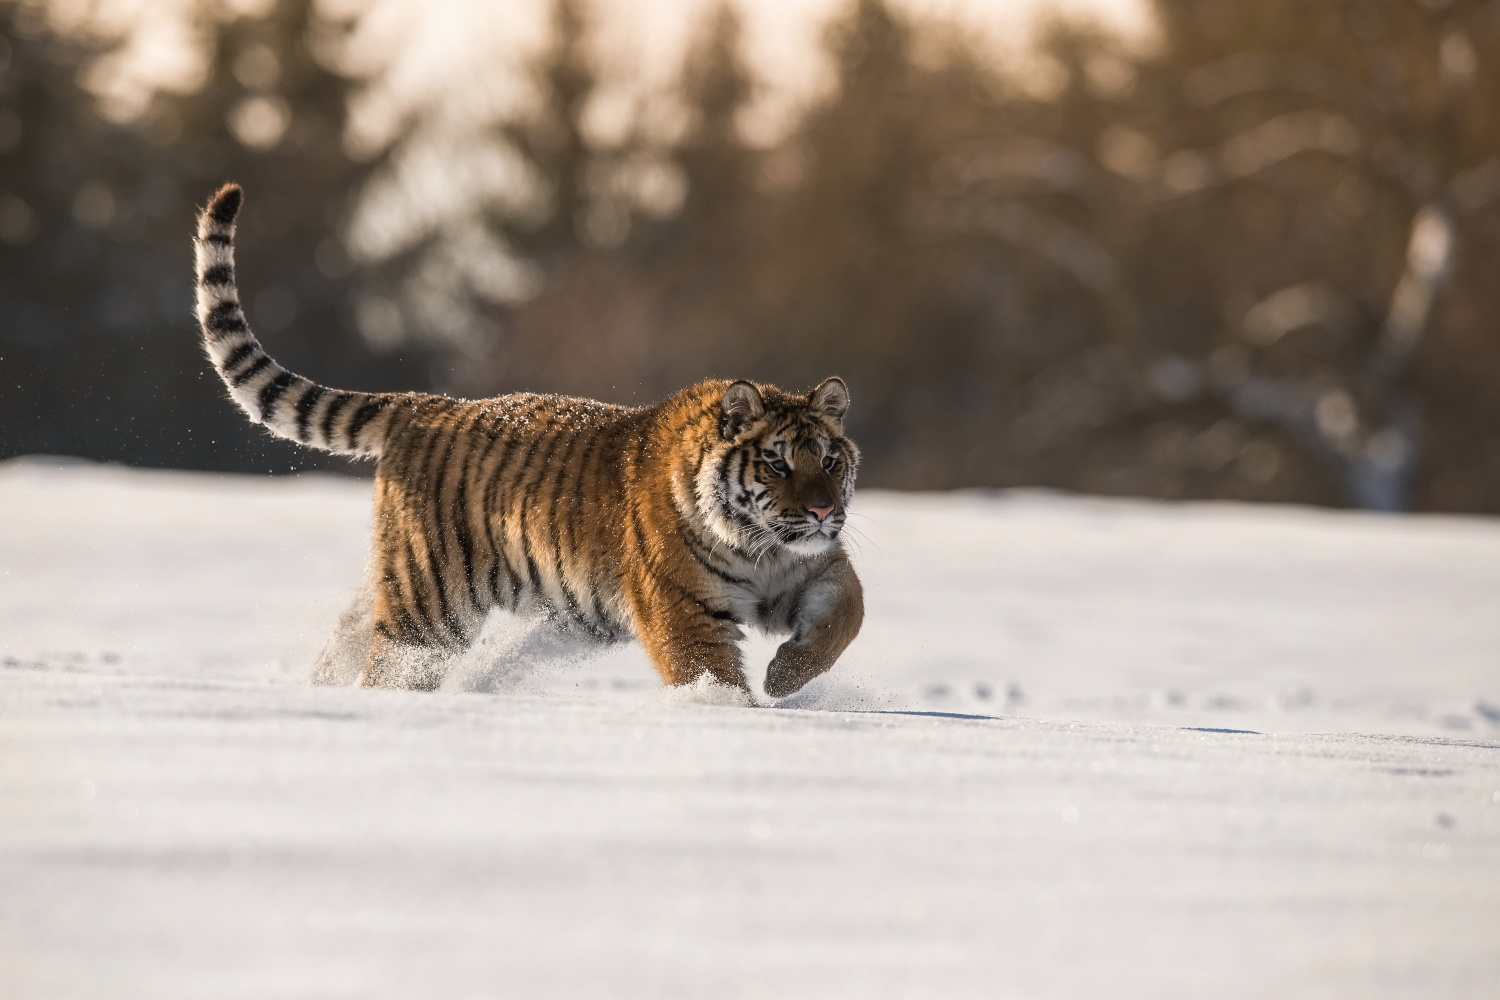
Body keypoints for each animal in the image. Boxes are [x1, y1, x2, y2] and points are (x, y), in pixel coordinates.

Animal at [193, 187, 864, 701]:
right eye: (777, 463)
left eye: (830, 462)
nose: (823, 511)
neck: (762, 547)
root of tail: (427, 404)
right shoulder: (685, 610)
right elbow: (713, 676)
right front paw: (735, 711)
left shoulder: (818, 566)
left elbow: (847, 616)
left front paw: (784, 678)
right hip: (432, 601)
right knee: (393, 667)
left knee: (349, 639)